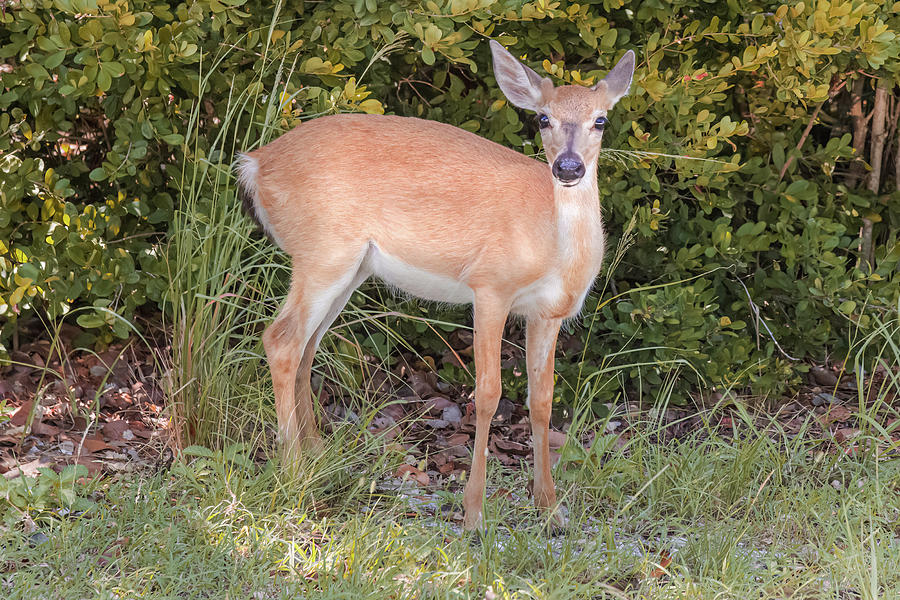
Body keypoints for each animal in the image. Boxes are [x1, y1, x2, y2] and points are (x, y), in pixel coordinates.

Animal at [236, 41, 636, 528]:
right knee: (281, 339)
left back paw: (317, 456)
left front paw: (551, 509)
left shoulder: (549, 312)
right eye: (543, 118)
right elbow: (488, 394)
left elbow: (542, 399)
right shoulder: (490, 287)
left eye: (601, 119)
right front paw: (475, 513)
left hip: (351, 267)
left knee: (307, 346)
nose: (568, 166)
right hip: (322, 251)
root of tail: (255, 163)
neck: (551, 247)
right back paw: (294, 470)